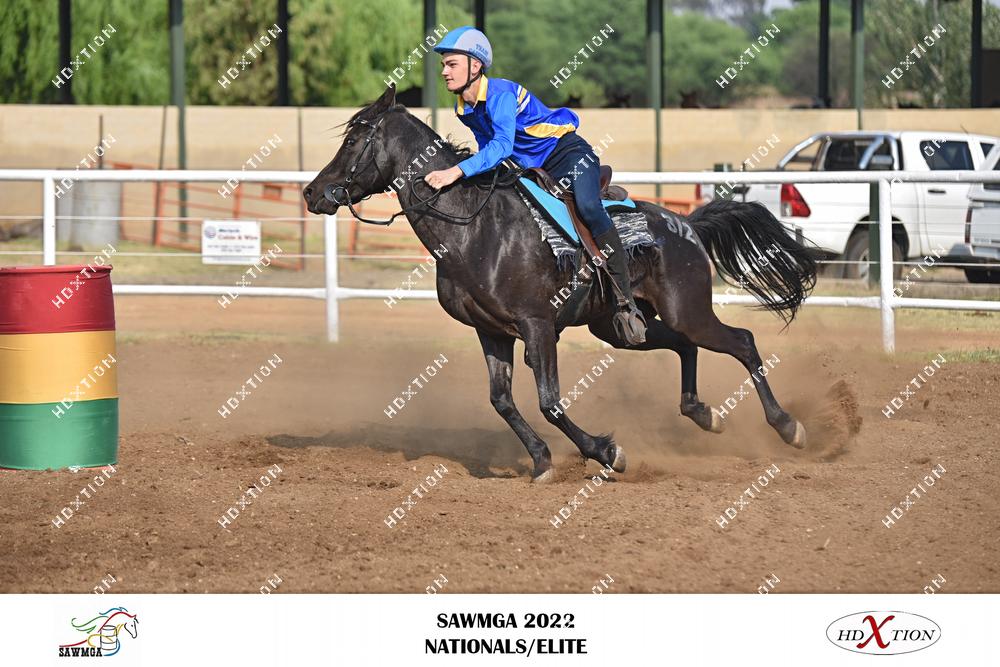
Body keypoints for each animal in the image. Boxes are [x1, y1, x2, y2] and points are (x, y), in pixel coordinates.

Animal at [304, 84, 817, 483]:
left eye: (355, 138)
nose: (312, 192)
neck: (476, 227)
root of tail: (686, 224)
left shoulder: (538, 327)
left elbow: (549, 401)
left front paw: (607, 452)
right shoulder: (491, 332)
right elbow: (502, 401)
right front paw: (541, 460)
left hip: (688, 310)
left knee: (742, 341)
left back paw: (788, 426)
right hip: (618, 328)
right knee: (684, 346)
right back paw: (704, 414)